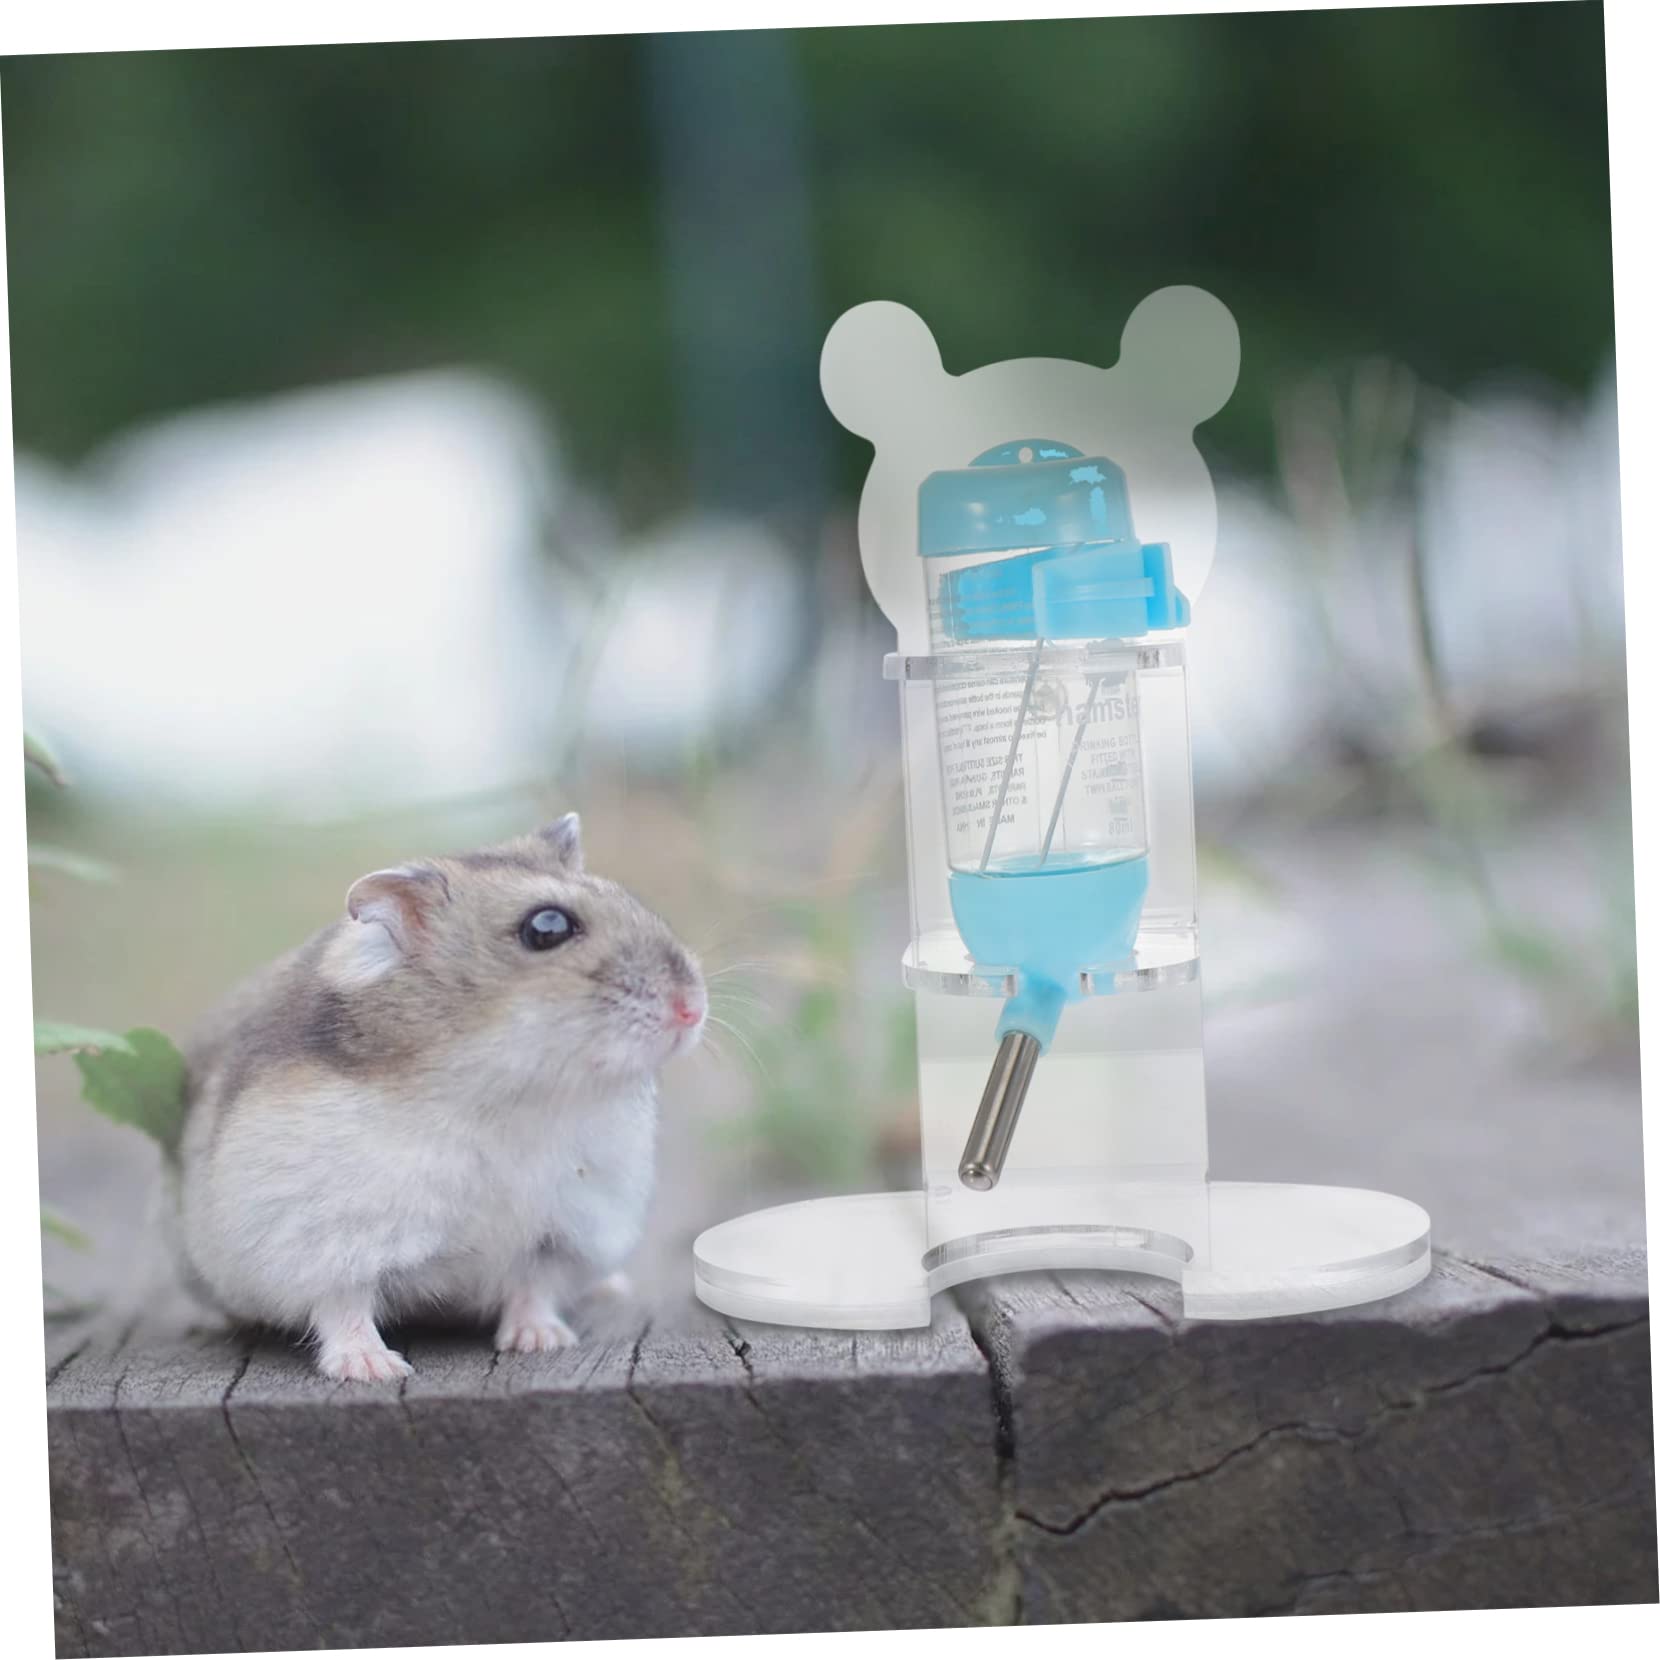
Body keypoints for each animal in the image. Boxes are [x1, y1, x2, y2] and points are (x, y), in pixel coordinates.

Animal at [174, 814, 705, 1382]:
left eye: (626, 898)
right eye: (547, 928)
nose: (693, 1009)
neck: (502, 1087)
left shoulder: (562, 1232)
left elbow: (532, 1288)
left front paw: (543, 1342)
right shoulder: (323, 1241)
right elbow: (343, 1305)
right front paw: (374, 1369)